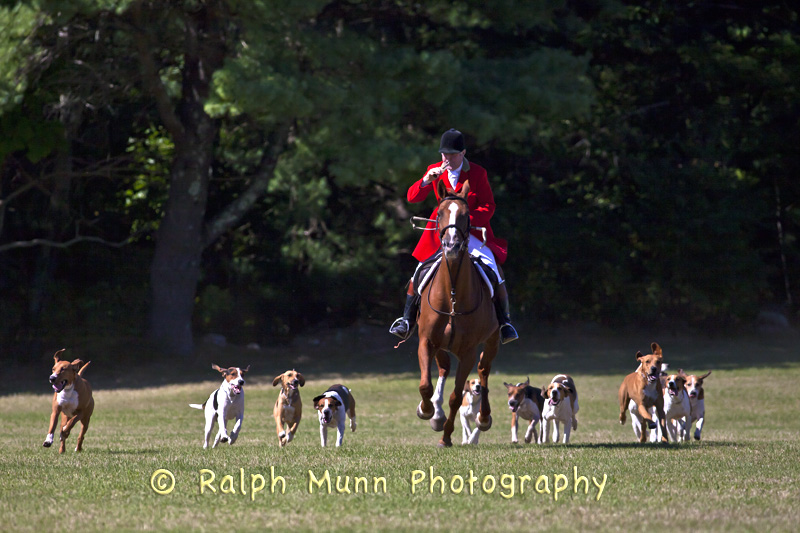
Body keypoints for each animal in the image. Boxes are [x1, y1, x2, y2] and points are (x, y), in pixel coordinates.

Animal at [412, 179, 500, 444]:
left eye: (465, 215)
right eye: (440, 213)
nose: (451, 246)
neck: (452, 294)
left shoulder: (468, 352)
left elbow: (457, 395)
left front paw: (446, 437)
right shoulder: (426, 341)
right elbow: (425, 385)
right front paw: (427, 410)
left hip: (492, 341)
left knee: (483, 370)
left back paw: (483, 418)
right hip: (440, 345)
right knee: (443, 369)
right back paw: (436, 413)